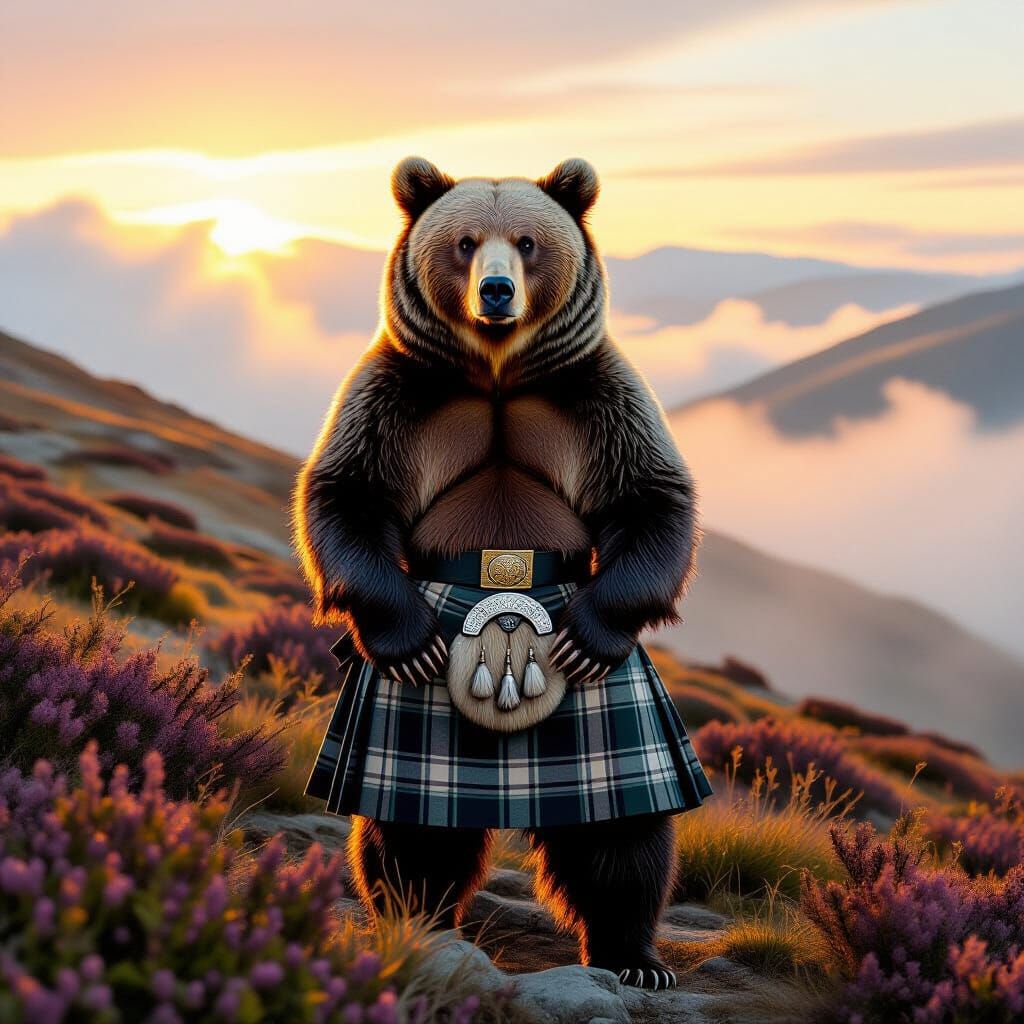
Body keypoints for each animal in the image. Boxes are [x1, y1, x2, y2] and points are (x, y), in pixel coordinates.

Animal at [295, 157, 711, 989]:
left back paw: (632, 956)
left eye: (527, 241)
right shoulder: (395, 395)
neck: (493, 373)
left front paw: (589, 635)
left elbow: (651, 495)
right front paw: (408, 638)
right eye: (463, 243)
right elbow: (345, 491)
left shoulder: (596, 395)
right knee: (414, 833)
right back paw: (418, 923)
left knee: (626, 830)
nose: (495, 291)